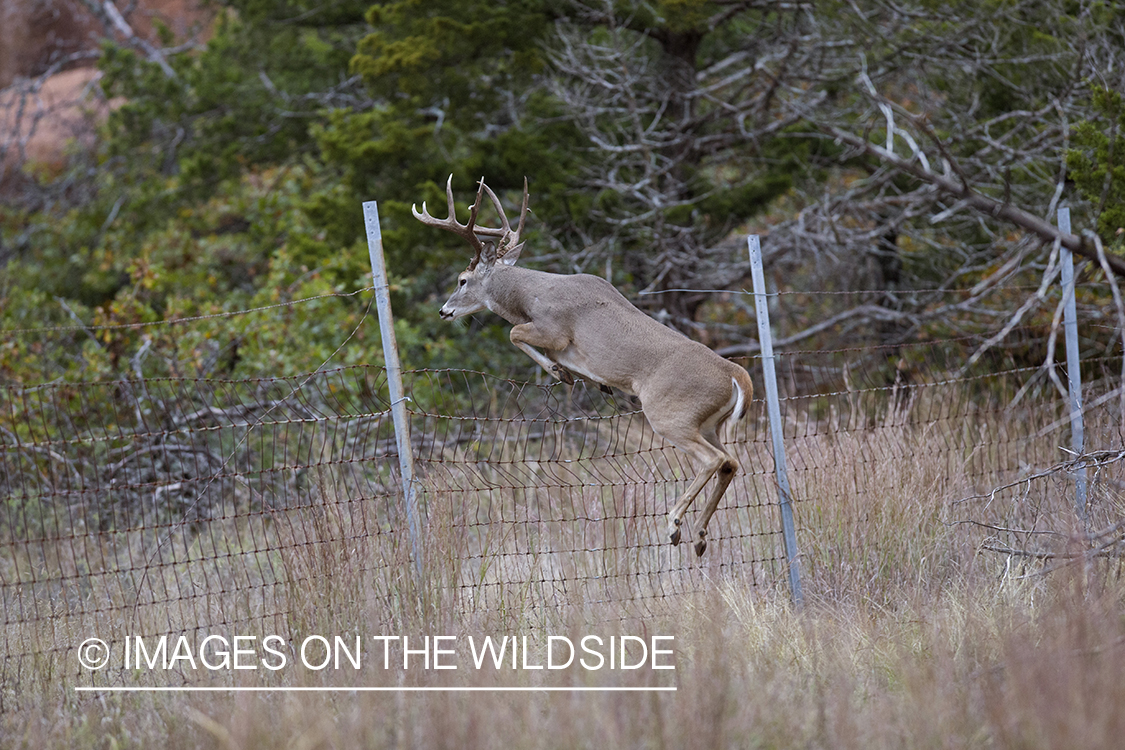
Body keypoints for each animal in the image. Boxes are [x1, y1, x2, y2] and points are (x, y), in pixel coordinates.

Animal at [409, 174, 751, 550]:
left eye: (462, 280)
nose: (444, 311)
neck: (530, 296)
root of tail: (736, 373)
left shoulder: (553, 329)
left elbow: (513, 333)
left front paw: (559, 371)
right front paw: (583, 379)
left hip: (671, 414)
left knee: (715, 459)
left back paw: (674, 523)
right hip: (709, 424)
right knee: (730, 462)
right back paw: (700, 535)